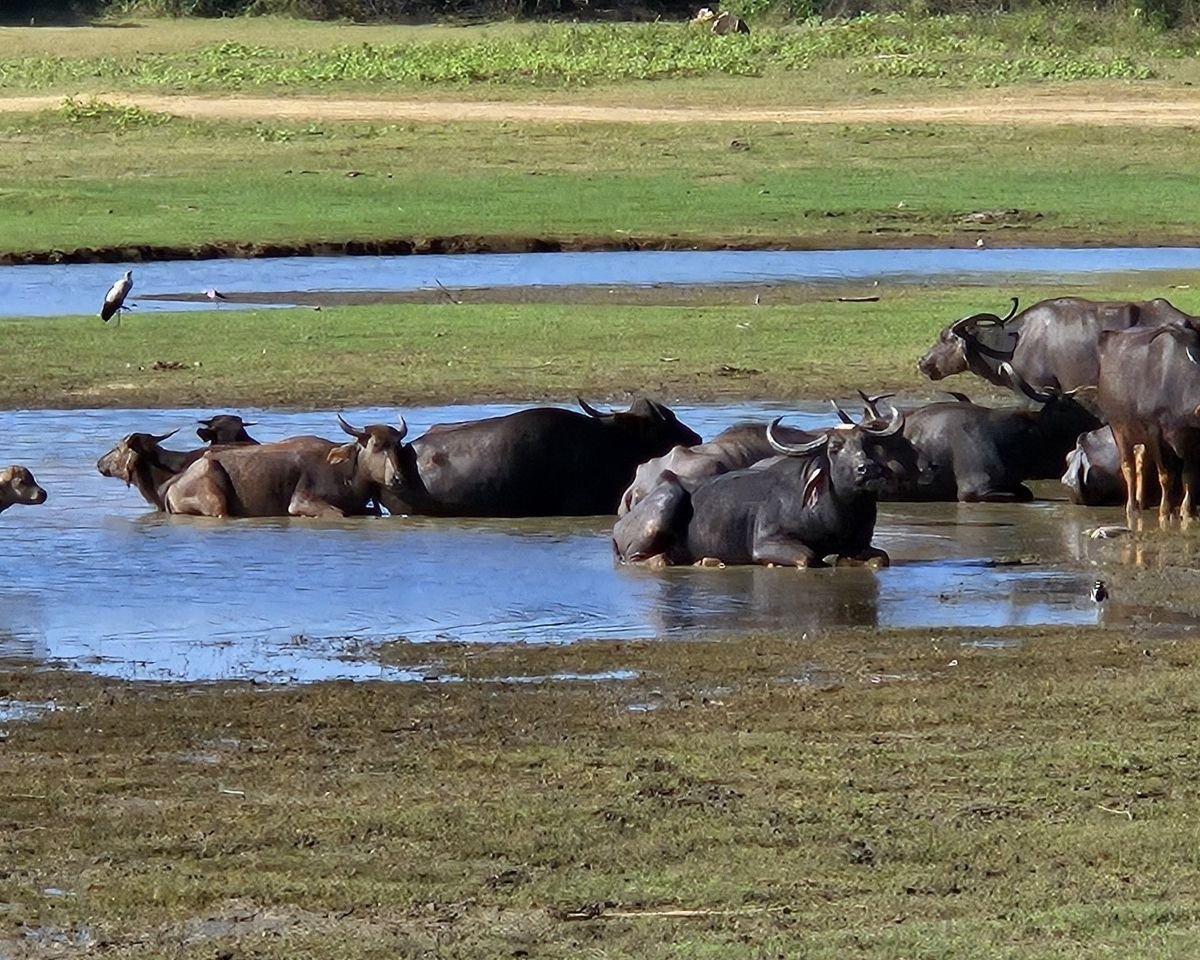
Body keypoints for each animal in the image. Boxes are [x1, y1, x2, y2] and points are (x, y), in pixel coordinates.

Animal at [612, 405, 903, 568]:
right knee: (644, 558)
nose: (867, 469)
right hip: (666, 499)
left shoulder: (860, 544)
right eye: (835, 447)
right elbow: (808, 557)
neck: (839, 513)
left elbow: (882, 558)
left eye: (867, 443)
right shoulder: (766, 542)